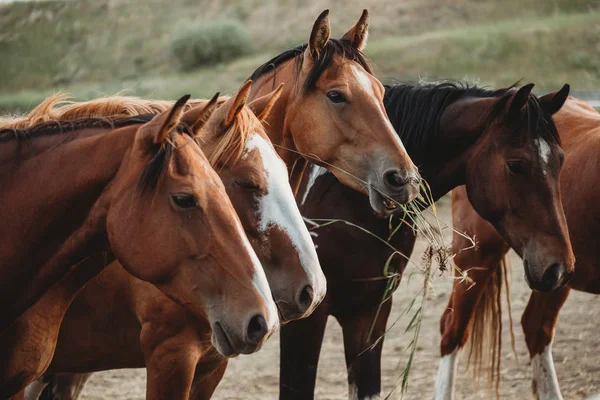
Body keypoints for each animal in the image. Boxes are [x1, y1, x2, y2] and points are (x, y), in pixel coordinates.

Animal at [276, 82, 572, 400]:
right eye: (516, 165)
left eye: (561, 161)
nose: (560, 267)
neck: (343, 200)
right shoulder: (306, 322)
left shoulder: (369, 314)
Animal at [434, 97, 600, 400]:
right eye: (514, 165)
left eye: (562, 163)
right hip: (478, 258)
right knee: (453, 328)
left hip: (554, 273)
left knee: (536, 327)